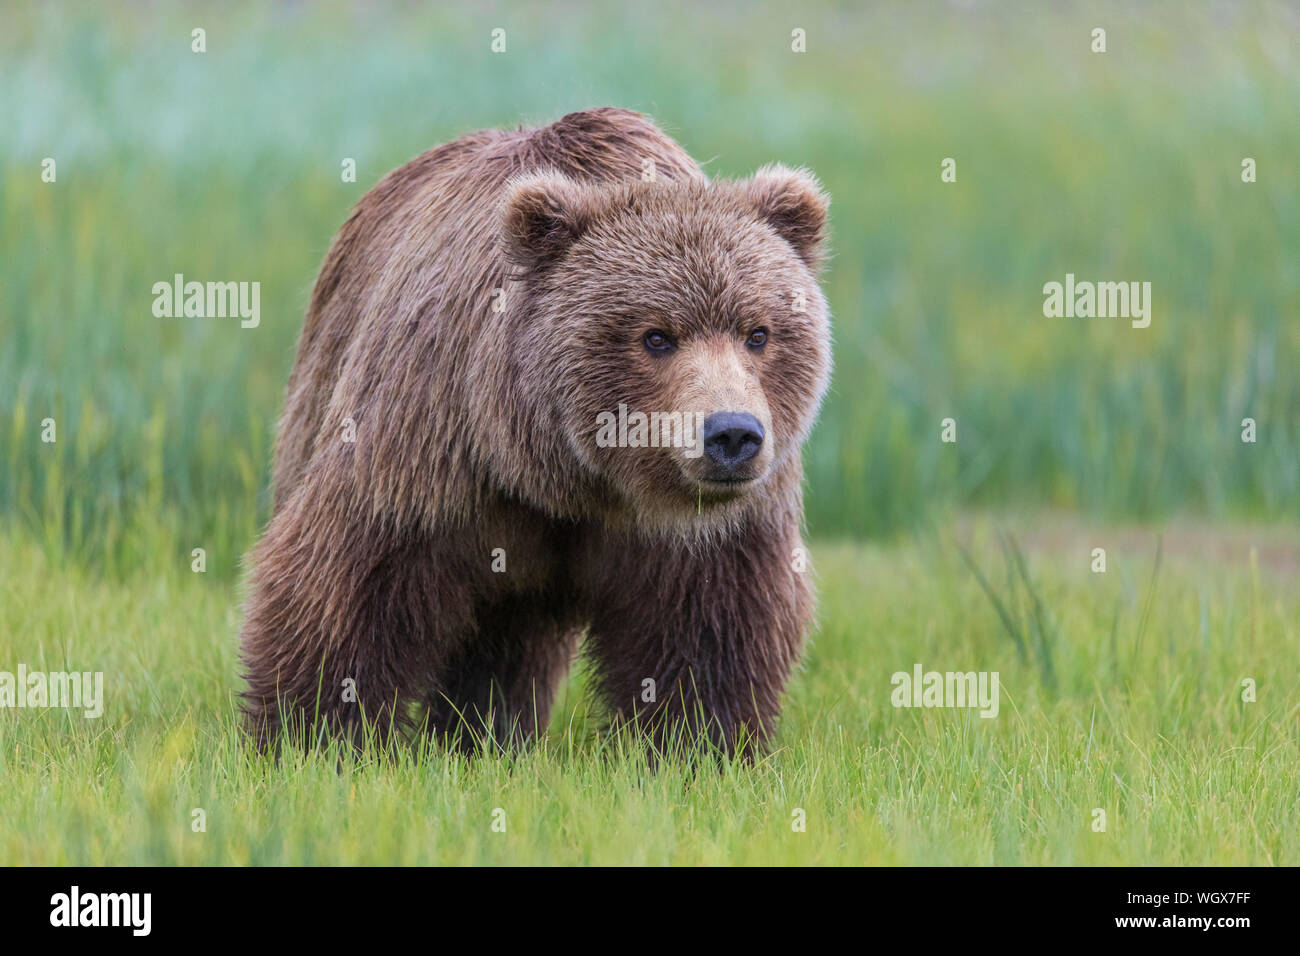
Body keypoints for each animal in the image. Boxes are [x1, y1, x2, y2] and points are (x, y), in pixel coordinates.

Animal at [240, 108, 832, 759]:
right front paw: (313, 738)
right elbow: (349, 579)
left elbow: (709, 623)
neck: (568, 477)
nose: (732, 434)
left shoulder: (702, 530)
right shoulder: (432, 453)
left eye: (758, 333)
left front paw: (698, 745)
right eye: (656, 336)